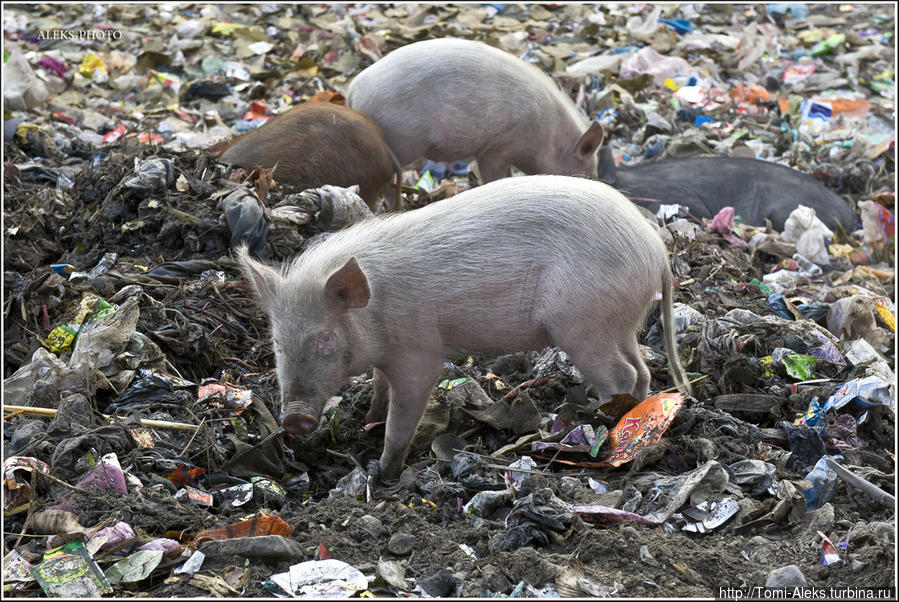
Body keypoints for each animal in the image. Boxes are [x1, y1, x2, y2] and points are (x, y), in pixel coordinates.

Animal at [237, 173, 688, 478]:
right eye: (277, 343)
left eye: (325, 338)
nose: (294, 419)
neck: (375, 310)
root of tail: (655, 251)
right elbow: (380, 389)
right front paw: (368, 419)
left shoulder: (419, 350)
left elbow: (405, 410)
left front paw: (384, 473)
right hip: (618, 323)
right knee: (641, 369)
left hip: (583, 324)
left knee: (621, 373)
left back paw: (603, 425)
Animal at [344, 37, 604, 182]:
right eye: (589, 175)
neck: (546, 137)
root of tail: (353, 90)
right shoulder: (498, 147)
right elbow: (494, 176)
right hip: (399, 139)